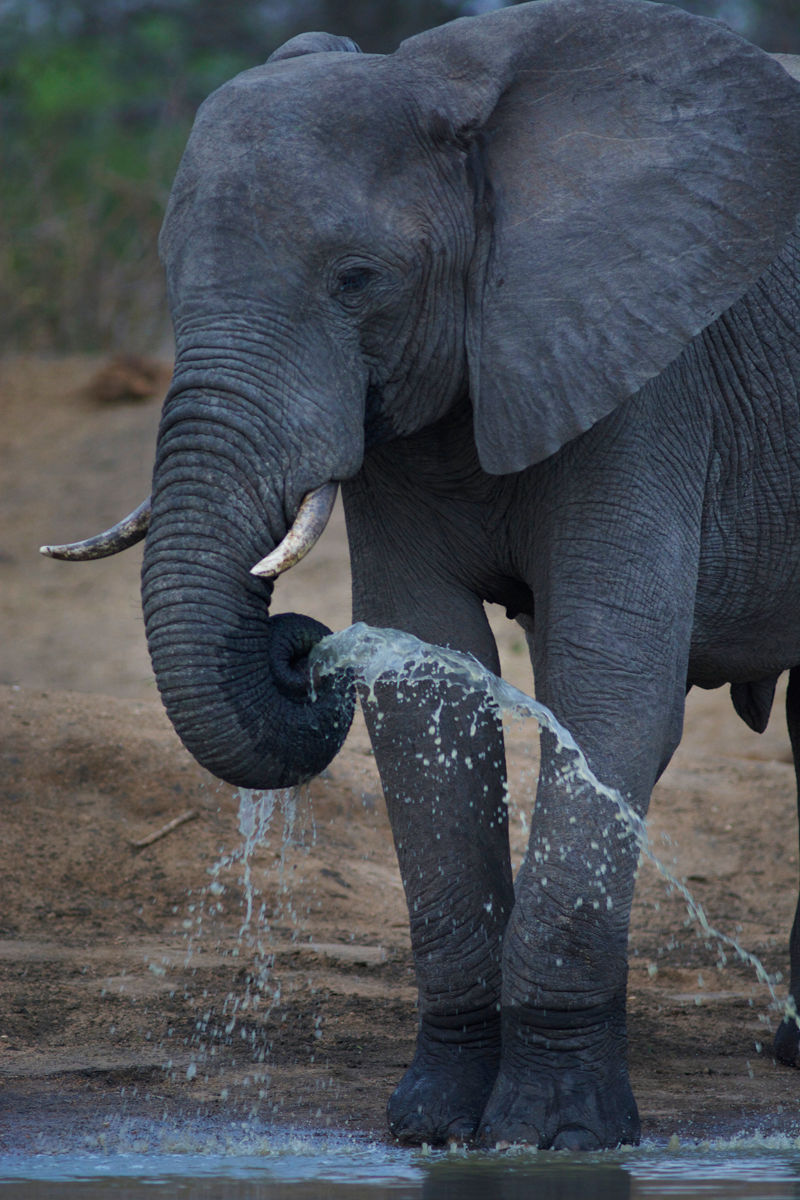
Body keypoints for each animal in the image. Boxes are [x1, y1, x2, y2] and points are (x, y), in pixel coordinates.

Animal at [42, 0, 800, 1152]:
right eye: (172, 277)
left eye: (357, 281)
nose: (299, 647)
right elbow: (425, 689)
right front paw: (435, 1128)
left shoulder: (646, 371)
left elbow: (607, 685)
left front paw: (550, 1135)